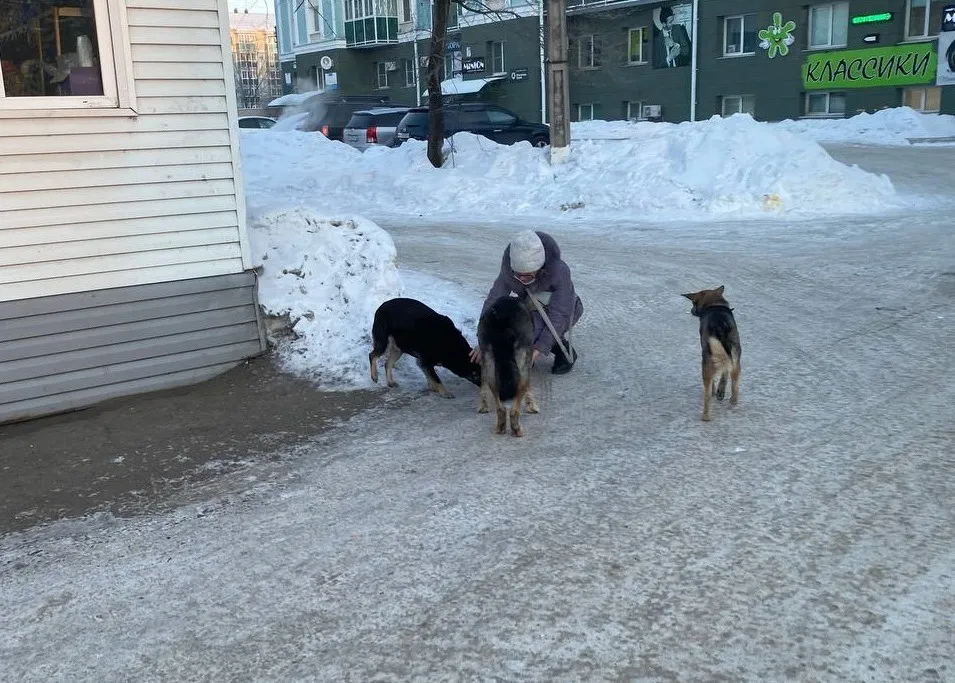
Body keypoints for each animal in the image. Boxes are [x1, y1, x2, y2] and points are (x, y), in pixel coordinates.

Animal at [476, 296, 536, 436]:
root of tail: (500, 318)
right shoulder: (528, 356)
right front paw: (531, 405)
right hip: (521, 361)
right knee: (514, 409)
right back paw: (517, 429)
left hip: (489, 360)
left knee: (501, 408)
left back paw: (500, 427)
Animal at [684, 284, 744, 422]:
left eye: (693, 303)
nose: (691, 310)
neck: (714, 306)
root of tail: (720, 331)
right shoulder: (731, 360)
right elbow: (725, 374)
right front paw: (720, 391)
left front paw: (714, 391)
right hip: (736, 362)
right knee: (735, 387)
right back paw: (732, 402)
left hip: (707, 365)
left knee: (707, 396)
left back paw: (705, 416)